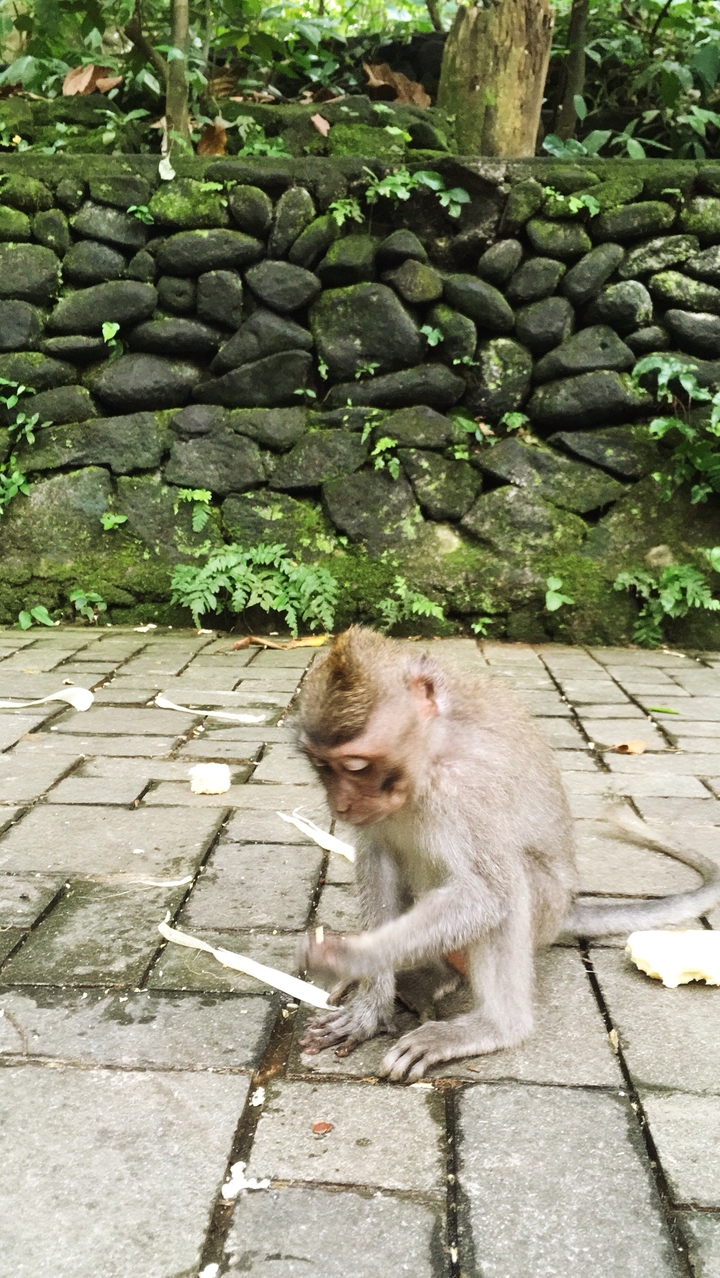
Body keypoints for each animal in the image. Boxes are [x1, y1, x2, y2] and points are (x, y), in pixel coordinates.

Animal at [294, 626, 720, 1082]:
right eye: (322, 766)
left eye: (356, 766)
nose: (341, 804)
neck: (432, 757)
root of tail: (566, 910)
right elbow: (379, 858)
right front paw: (371, 1003)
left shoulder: (470, 786)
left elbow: (490, 895)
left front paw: (350, 956)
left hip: (545, 910)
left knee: (509, 887)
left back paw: (498, 1025)